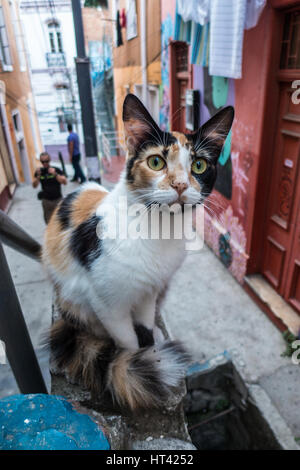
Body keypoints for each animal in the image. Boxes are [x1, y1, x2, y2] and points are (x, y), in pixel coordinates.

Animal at [42, 93, 234, 410]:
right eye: (156, 161)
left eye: (199, 166)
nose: (180, 185)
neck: (159, 230)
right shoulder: (106, 303)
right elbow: (127, 340)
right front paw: (134, 362)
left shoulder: (150, 290)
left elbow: (143, 324)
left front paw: (151, 350)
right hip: (74, 300)